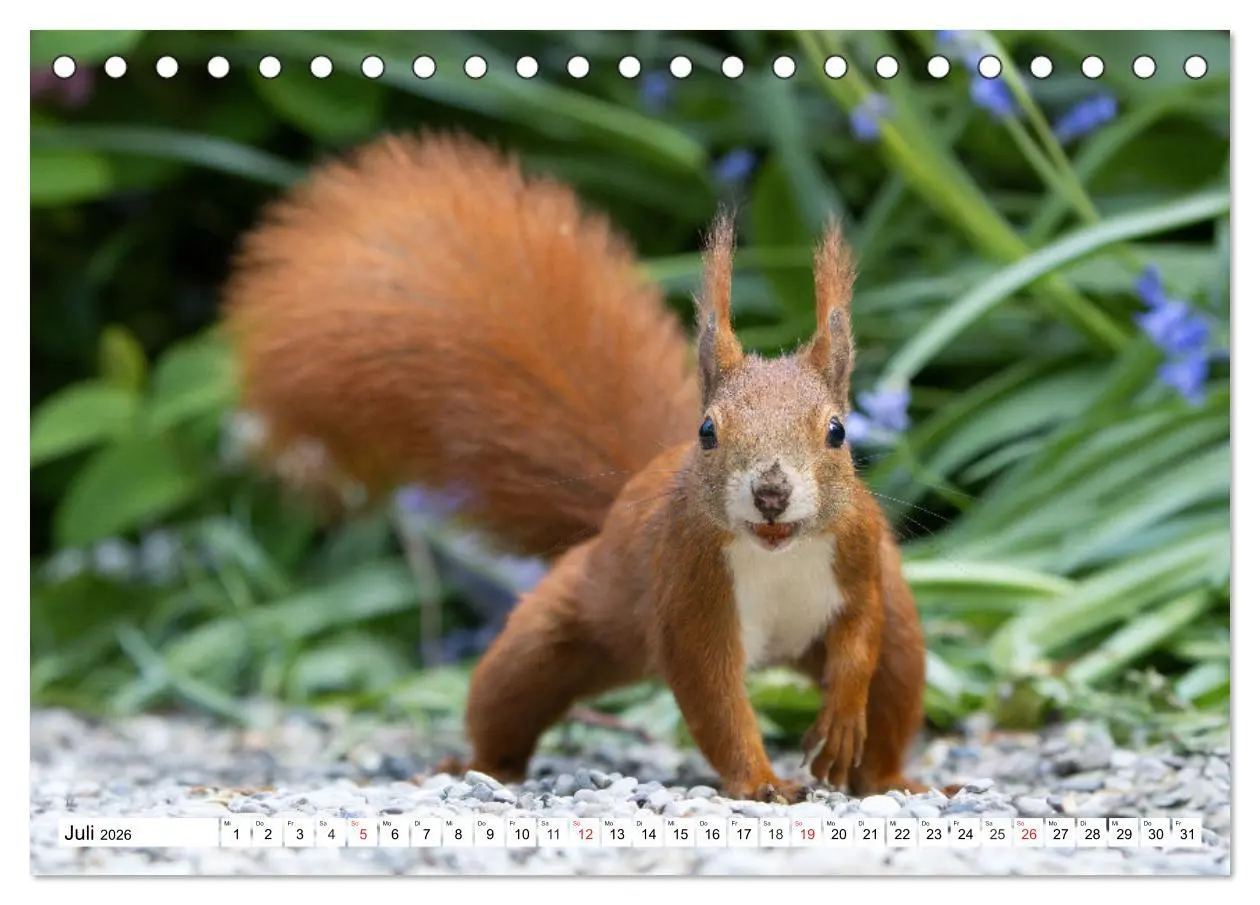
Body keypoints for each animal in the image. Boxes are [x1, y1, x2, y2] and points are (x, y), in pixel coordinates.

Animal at [221, 130, 931, 802]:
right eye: (707, 432)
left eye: (837, 432)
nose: (772, 491)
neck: (775, 552)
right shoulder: (687, 580)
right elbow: (713, 694)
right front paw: (759, 782)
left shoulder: (860, 550)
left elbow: (860, 634)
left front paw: (840, 717)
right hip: (563, 629)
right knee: (510, 692)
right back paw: (481, 765)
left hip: (902, 640)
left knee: (893, 680)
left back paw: (890, 777)